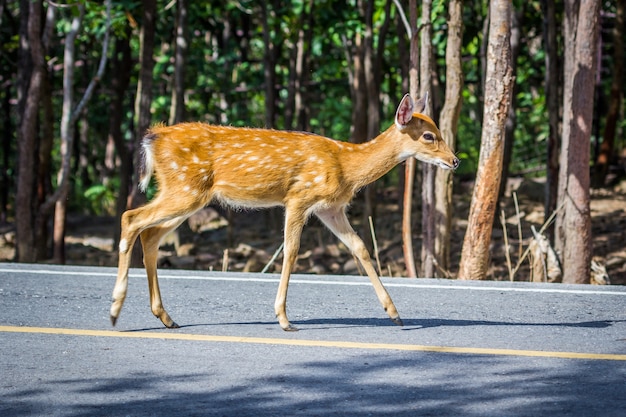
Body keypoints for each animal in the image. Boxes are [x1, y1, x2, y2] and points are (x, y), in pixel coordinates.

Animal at [108, 92, 458, 330]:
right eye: (429, 135)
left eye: (439, 131)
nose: (454, 160)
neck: (347, 165)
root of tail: (154, 137)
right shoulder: (299, 197)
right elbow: (291, 250)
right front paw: (284, 318)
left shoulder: (331, 208)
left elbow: (360, 247)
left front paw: (395, 313)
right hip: (185, 189)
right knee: (130, 219)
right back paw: (114, 310)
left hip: (189, 194)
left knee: (150, 234)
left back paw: (166, 317)